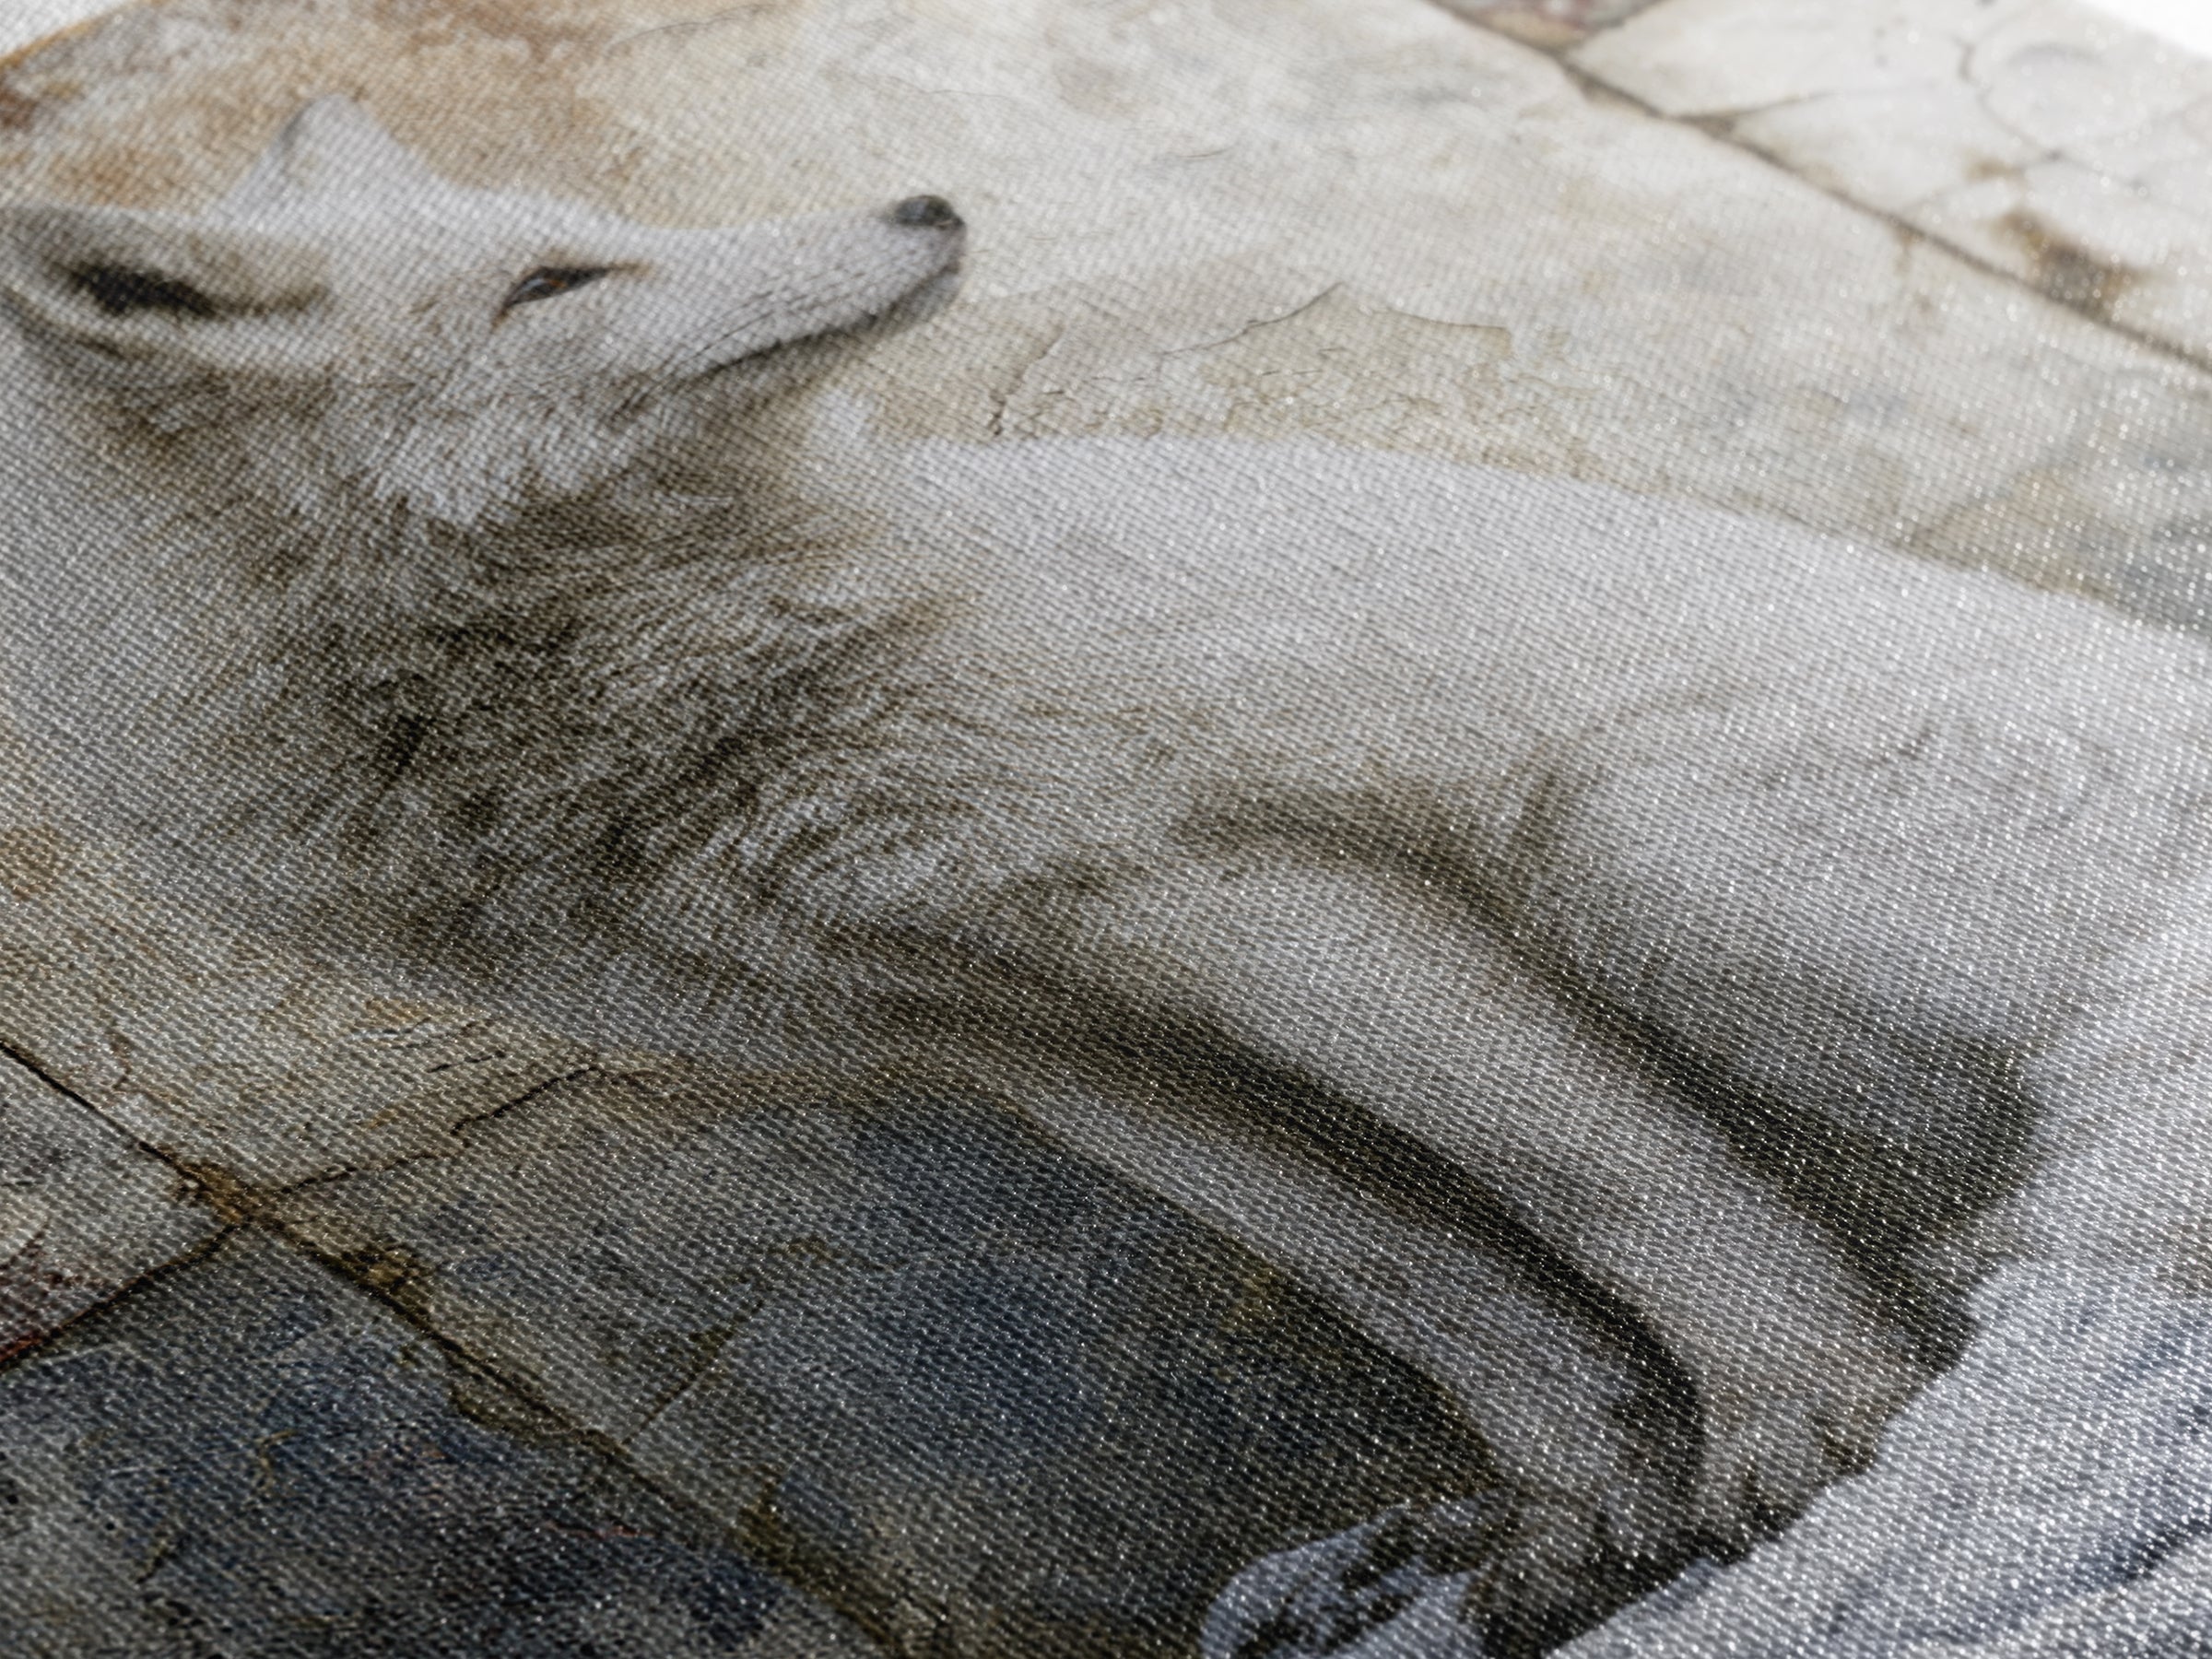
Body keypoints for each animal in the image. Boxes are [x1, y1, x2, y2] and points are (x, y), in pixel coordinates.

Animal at [3, 95, 2210, 1656]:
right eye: (553, 281)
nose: (929, 207)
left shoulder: (1222, 880)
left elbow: (1599, 1169)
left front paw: (1811, 1432)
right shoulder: (1027, 1031)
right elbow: (1417, 1281)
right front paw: (1588, 1527)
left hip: (1627, 832)